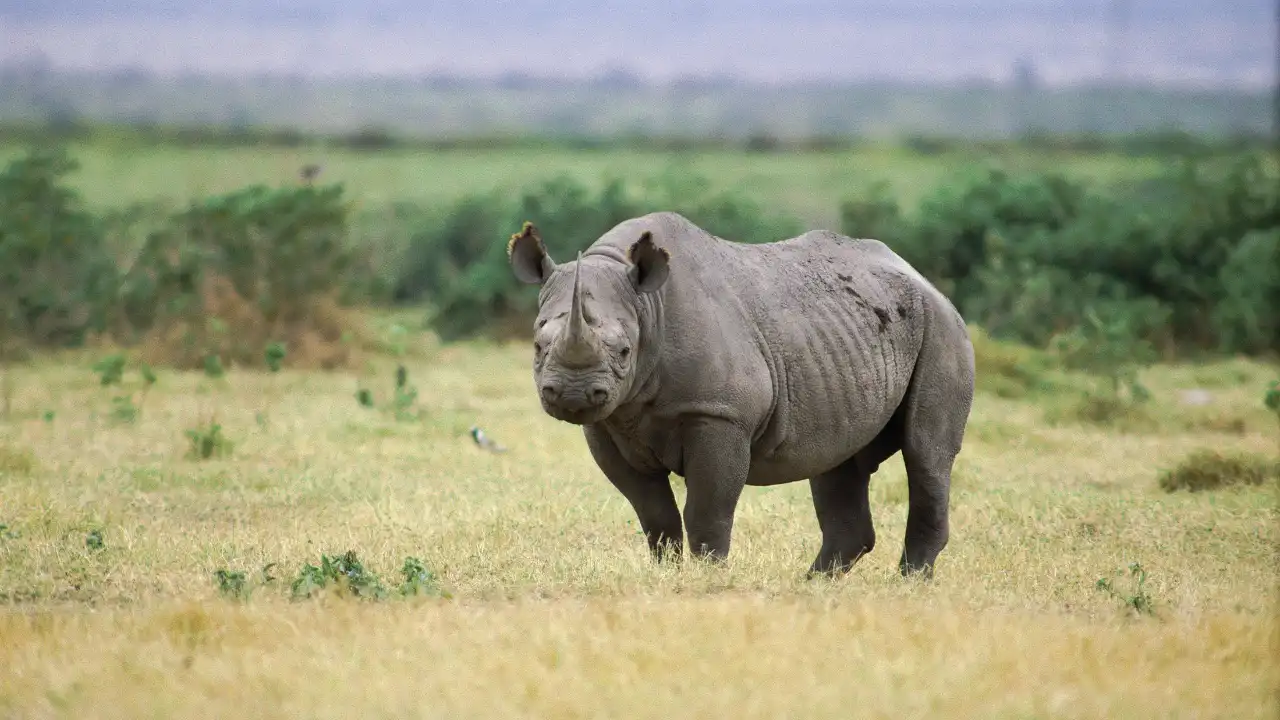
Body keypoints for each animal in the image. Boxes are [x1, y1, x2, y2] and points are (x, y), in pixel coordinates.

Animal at [507, 211, 975, 577]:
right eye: (537, 346)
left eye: (624, 351)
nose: (573, 396)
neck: (646, 307)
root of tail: (922, 277)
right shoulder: (607, 426)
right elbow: (654, 515)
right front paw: (667, 575)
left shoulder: (721, 414)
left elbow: (707, 511)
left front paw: (708, 578)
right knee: (836, 461)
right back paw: (812, 586)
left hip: (942, 328)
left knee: (926, 454)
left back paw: (909, 584)